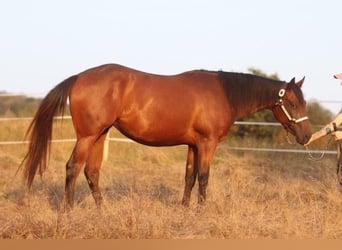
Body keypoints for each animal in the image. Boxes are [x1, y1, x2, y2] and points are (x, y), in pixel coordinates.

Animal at [20, 64, 310, 207]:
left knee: (91, 172)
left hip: (100, 134)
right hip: (87, 136)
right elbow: (204, 178)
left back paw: (103, 211)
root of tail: (80, 76)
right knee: (72, 168)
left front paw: (185, 209)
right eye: (292, 104)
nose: (306, 136)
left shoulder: (193, 145)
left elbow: (189, 177)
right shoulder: (207, 144)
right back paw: (68, 212)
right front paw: (201, 211)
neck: (224, 93)